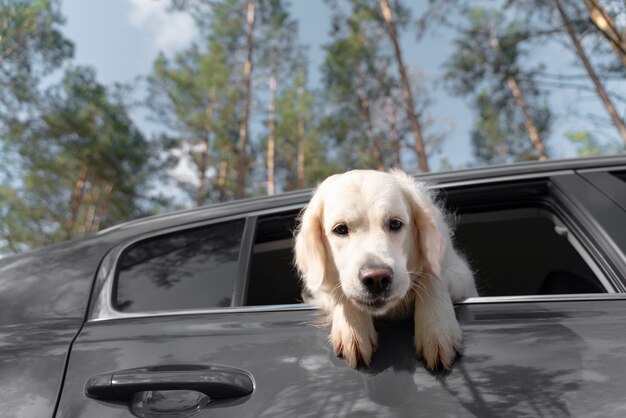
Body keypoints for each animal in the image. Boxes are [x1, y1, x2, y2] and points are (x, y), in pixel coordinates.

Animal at [294, 169, 476, 370]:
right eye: (340, 229)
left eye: (395, 223)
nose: (376, 279)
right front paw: (354, 327)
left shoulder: (462, 273)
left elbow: (432, 274)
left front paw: (437, 327)